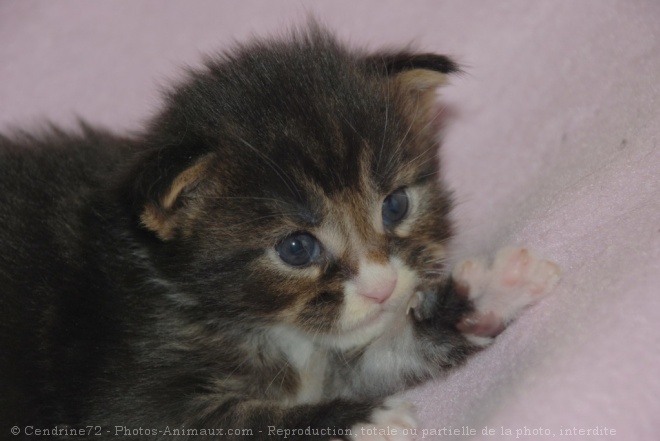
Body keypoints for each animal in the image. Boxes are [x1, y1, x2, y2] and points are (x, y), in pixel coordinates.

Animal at [0, 25, 560, 438]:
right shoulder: (126, 402)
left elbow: (379, 351)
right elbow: (240, 424)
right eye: (296, 248)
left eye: (395, 205)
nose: (382, 288)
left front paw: (490, 291)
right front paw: (365, 420)